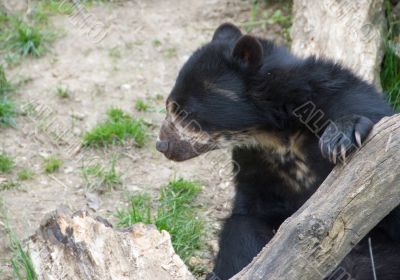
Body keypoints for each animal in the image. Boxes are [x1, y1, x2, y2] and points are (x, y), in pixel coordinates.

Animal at [155, 23, 398, 278]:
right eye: (168, 105)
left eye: (185, 112)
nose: (162, 144)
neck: (276, 134)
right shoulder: (255, 165)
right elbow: (248, 220)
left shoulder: (343, 97)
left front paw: (342, 136)